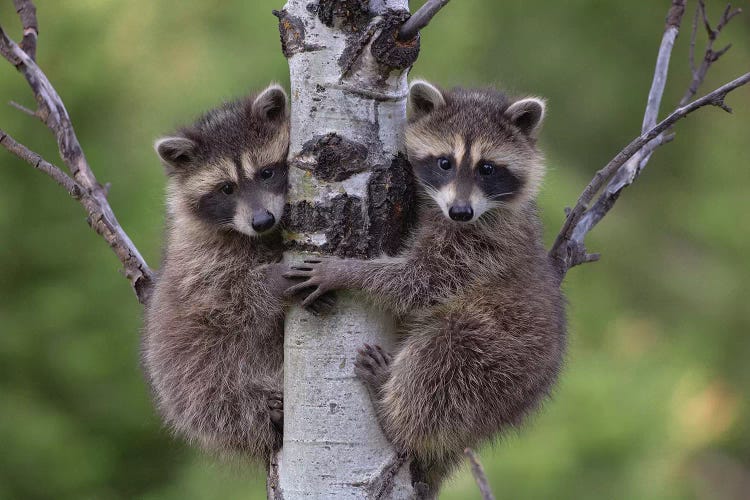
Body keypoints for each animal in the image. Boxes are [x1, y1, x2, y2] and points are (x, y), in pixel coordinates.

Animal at [141, 84, 296, 458]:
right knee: (220, 396)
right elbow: (229, 302)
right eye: (226, 188)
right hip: (190, 379)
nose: (262, 221)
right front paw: (271, 280)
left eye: (266, 172)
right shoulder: (201, 263)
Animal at [290, 80, 568, 490]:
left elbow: (420, 281)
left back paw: (394, 416)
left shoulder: (480, 247)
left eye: (487, 168)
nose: (460, 212)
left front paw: (346, 271)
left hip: (498, 361)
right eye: (444, 163)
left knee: (442, 357)